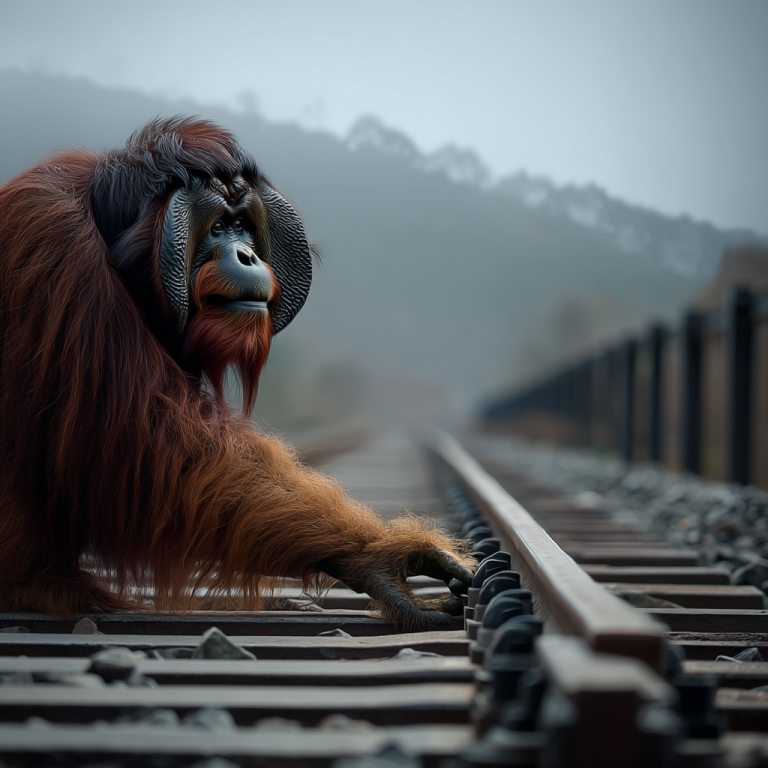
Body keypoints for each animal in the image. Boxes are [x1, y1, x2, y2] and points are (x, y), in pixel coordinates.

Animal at [0, 117, 474, 627]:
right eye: (218, 228)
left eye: (243, 226)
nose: (247, 255)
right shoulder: (51, 239)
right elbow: (140, 440)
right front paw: (379, 560)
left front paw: (384, 558)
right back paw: (43, 587)